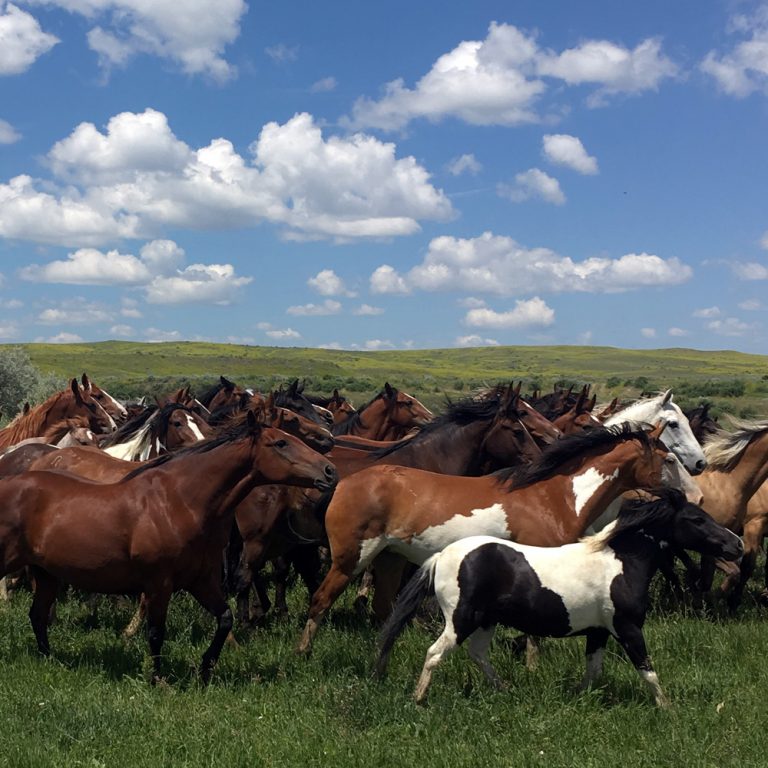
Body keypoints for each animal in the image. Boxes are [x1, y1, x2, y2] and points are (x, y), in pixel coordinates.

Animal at [0, 411, 337, 682]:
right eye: (281, 443)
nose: (330, 471)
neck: (179, 501)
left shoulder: (201, 581)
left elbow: (225, 618)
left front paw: (206, 668)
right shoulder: (159, 583)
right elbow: (155, 632)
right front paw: (157, 679)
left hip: (46, 573)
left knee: (38, 615)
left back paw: (49, 658)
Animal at [297, 423, 679, 653]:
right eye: (669, 458)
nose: (685, 494)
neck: (553, 496)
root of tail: (342, 483)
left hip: (390, 558)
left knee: (382, 608)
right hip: (351, 558)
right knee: (320, 600)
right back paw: (304, 653)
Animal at [376, 490, 742, 705]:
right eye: (697, 519)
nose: (736, 545)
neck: (621, 563)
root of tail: (442, 557)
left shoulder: (599, 632)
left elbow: (593, 670)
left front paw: (578, 697)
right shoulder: (627, 628)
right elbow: (647, 670)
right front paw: (667, 709)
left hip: (485, 621)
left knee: (478, 655)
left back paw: (505, 689)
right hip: (461, 619)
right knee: (435, 653)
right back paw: (419, 699)